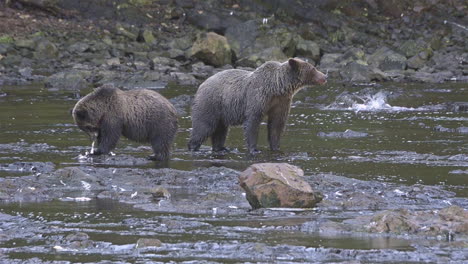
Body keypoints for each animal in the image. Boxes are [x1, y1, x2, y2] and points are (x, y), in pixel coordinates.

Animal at [188, 57, 328, 153]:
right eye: (313, 68)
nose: (325, 76)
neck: (277, 88)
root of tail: (202, 84)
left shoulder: (281, 102)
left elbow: (276, 125)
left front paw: (276, 147)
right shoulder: (258, 97)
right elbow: (252, 121)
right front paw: (254, 149)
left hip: (222, 112)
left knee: (221, 131)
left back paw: (221, 148)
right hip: (211, 103)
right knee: (204, 126)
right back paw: (193, 146)